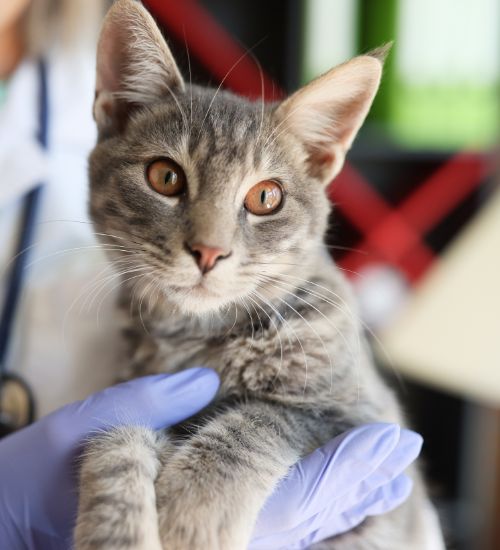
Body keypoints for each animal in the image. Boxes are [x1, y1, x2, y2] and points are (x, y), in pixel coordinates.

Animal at [72, 1, 444, 550]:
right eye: (165, 176)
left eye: (266, 197)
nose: (208, 251)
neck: (200, 338)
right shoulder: (132, 389)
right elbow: (114, 432)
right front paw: (116, 529)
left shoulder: (367, 424)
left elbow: (260, 419)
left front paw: (193, 509)